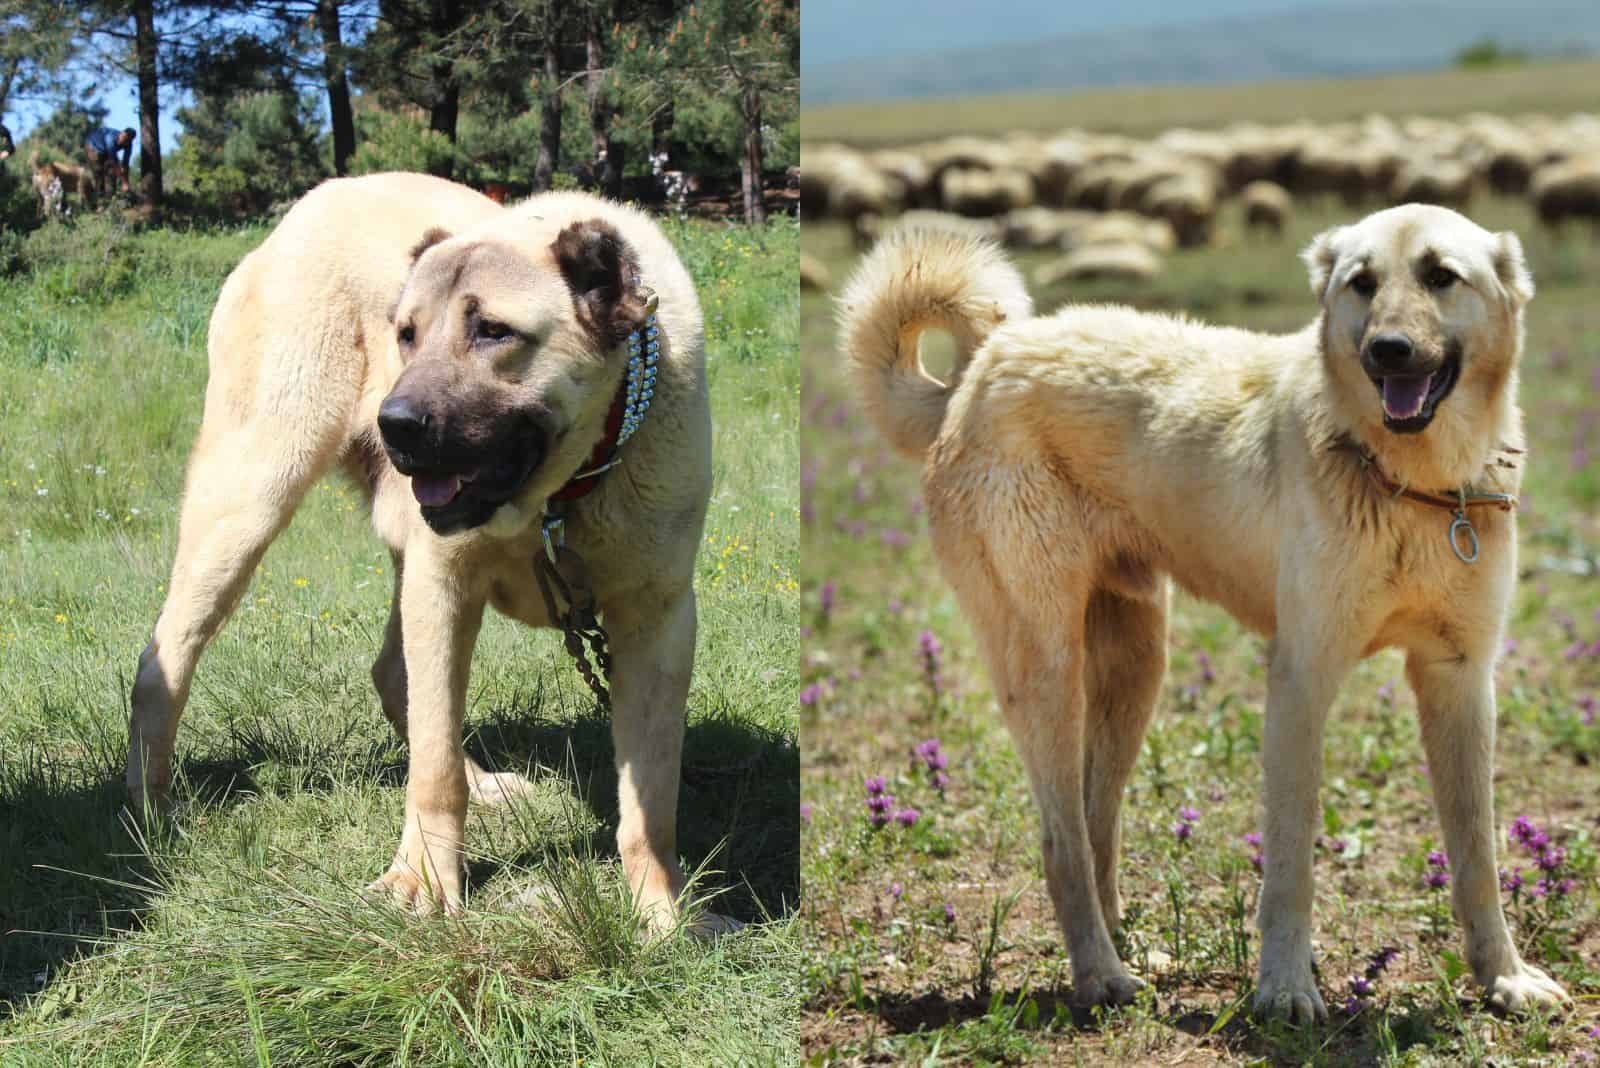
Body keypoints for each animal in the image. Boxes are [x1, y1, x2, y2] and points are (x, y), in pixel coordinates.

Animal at [131, 171, 726, 927]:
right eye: (406, 334)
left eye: (494, 331)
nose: (396, 424)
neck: (557, 496)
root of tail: (314, 201)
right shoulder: (445, 584)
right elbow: (436, 771)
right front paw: (420, 882)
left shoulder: (658, 621)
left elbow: (651, 798)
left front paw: (665, 913)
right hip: (247, 498)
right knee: (166, 658)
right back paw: (151, 808)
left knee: (399, 679)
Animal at [844, 204, 1568, 1023]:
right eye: (1362, 283)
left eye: (1442, 276)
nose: (1387, 351)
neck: (1412, 484)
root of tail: (981, 366)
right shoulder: (1301, 681)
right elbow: (1291, 860)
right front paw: (1284, 988)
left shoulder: (1460, 679)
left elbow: (1478, 853)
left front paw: (1504, 977)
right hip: (1047, 670)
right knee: (1061, 842)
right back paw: (1102, 977)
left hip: (1135, 668)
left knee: (1095, 826)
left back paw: (1129, 952)